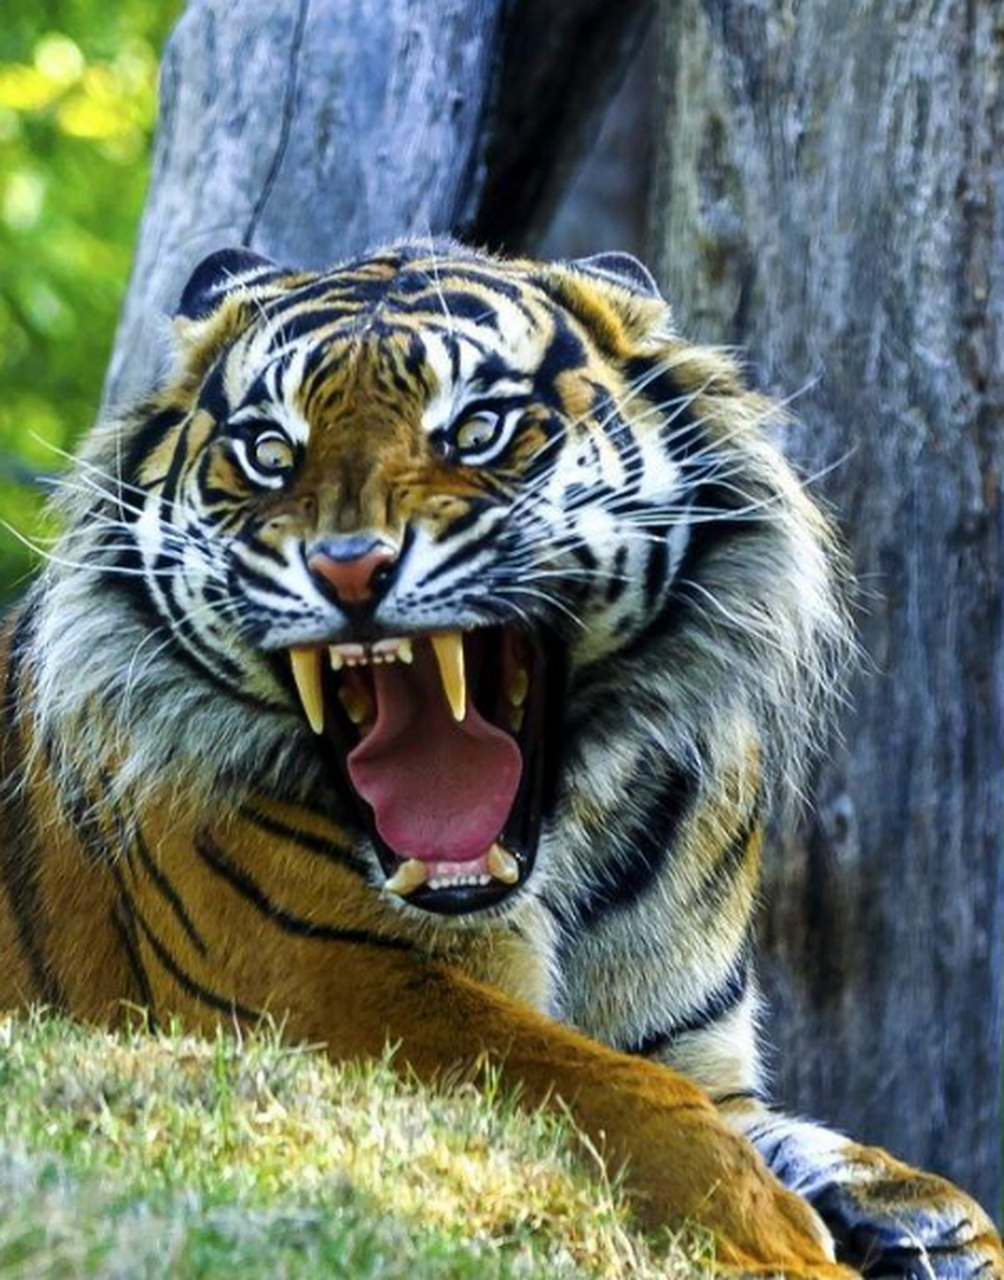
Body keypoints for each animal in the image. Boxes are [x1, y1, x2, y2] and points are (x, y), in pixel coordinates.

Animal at [0, 239, 999, 1278]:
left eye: (477, 429)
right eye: (271, 452)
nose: (349, 567)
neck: (574, 843)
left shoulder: (695, 1047)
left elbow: (799, 1136)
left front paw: (921, 1219)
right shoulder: (324, 983)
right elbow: (613, 1093)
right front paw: (786, 1241)